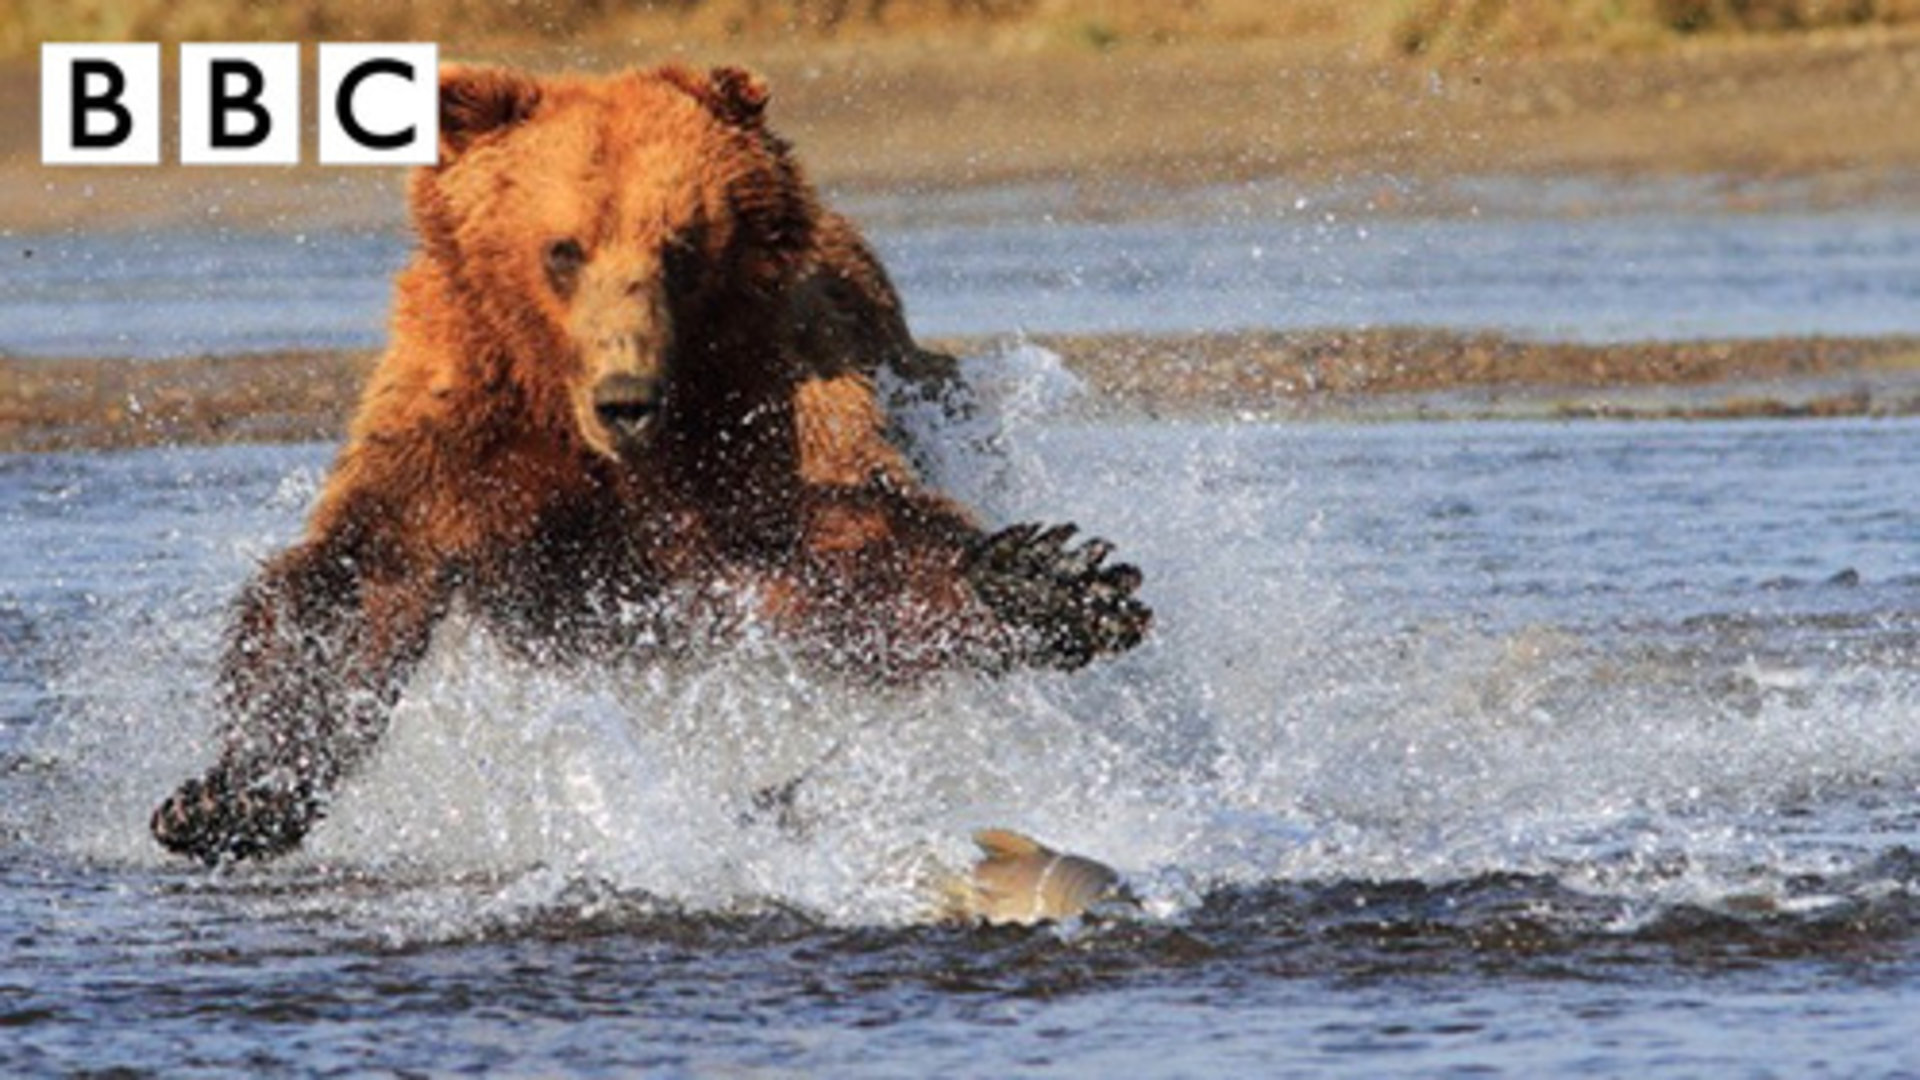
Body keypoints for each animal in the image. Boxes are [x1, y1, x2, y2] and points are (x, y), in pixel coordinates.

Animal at [149, 62, 1144, 860]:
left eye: (681, 247)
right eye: (564, 248)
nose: (627, 396)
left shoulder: (765, 413)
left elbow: (841, 555)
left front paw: (1055, 579)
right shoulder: (462, 416)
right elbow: (361, 578)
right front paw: (226, 799)